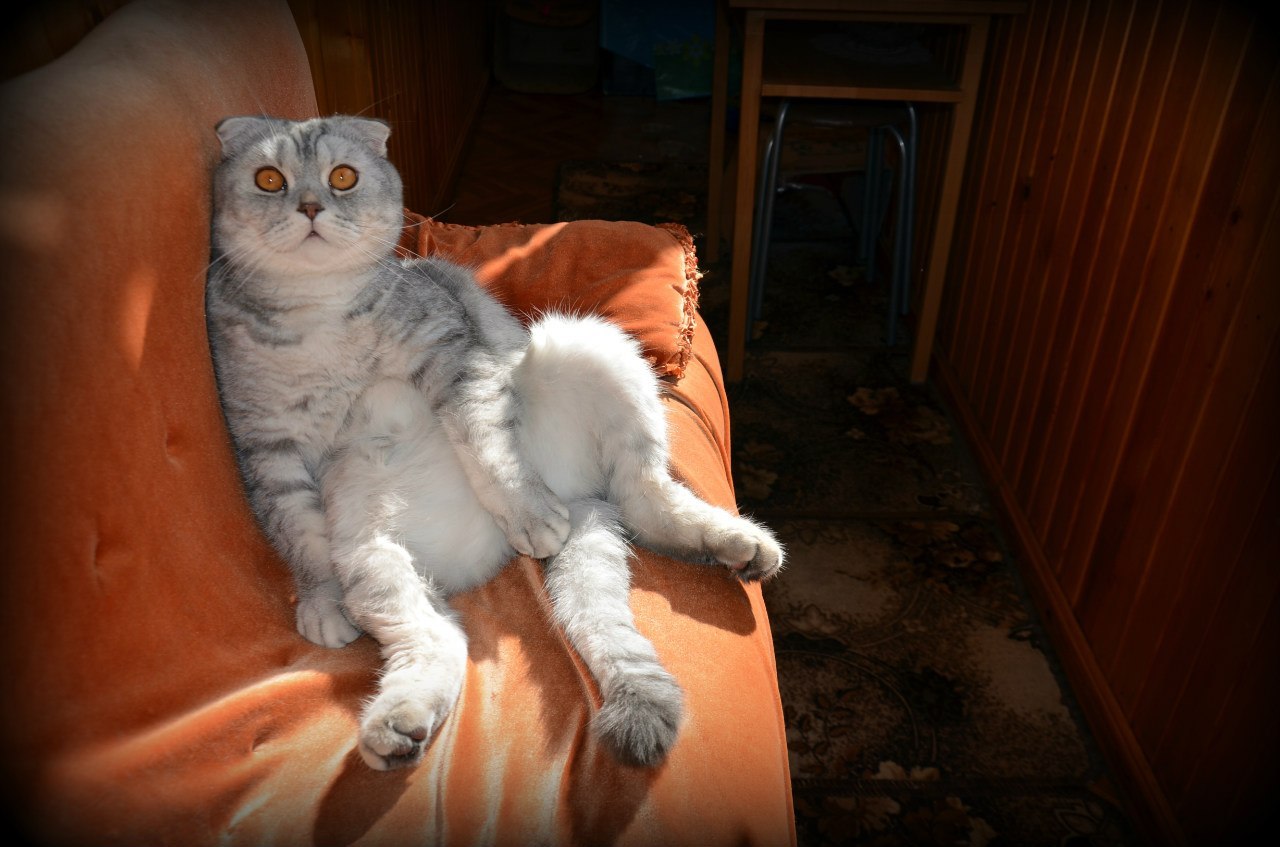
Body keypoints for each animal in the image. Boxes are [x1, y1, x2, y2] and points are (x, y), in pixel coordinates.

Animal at [206, 116, 783, 772]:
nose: (307, 206)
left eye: (342, 176)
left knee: (645, 496)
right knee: (440, 640)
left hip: (590, 347)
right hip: (374, 563)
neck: (318, 317)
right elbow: (300, 537)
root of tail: (578, 498)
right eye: (268, 180)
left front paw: (526, 512)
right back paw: (399, 726)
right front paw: (320, 600)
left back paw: (735, 543)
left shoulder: (458, 356)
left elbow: (486, 444)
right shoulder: (268, 451)